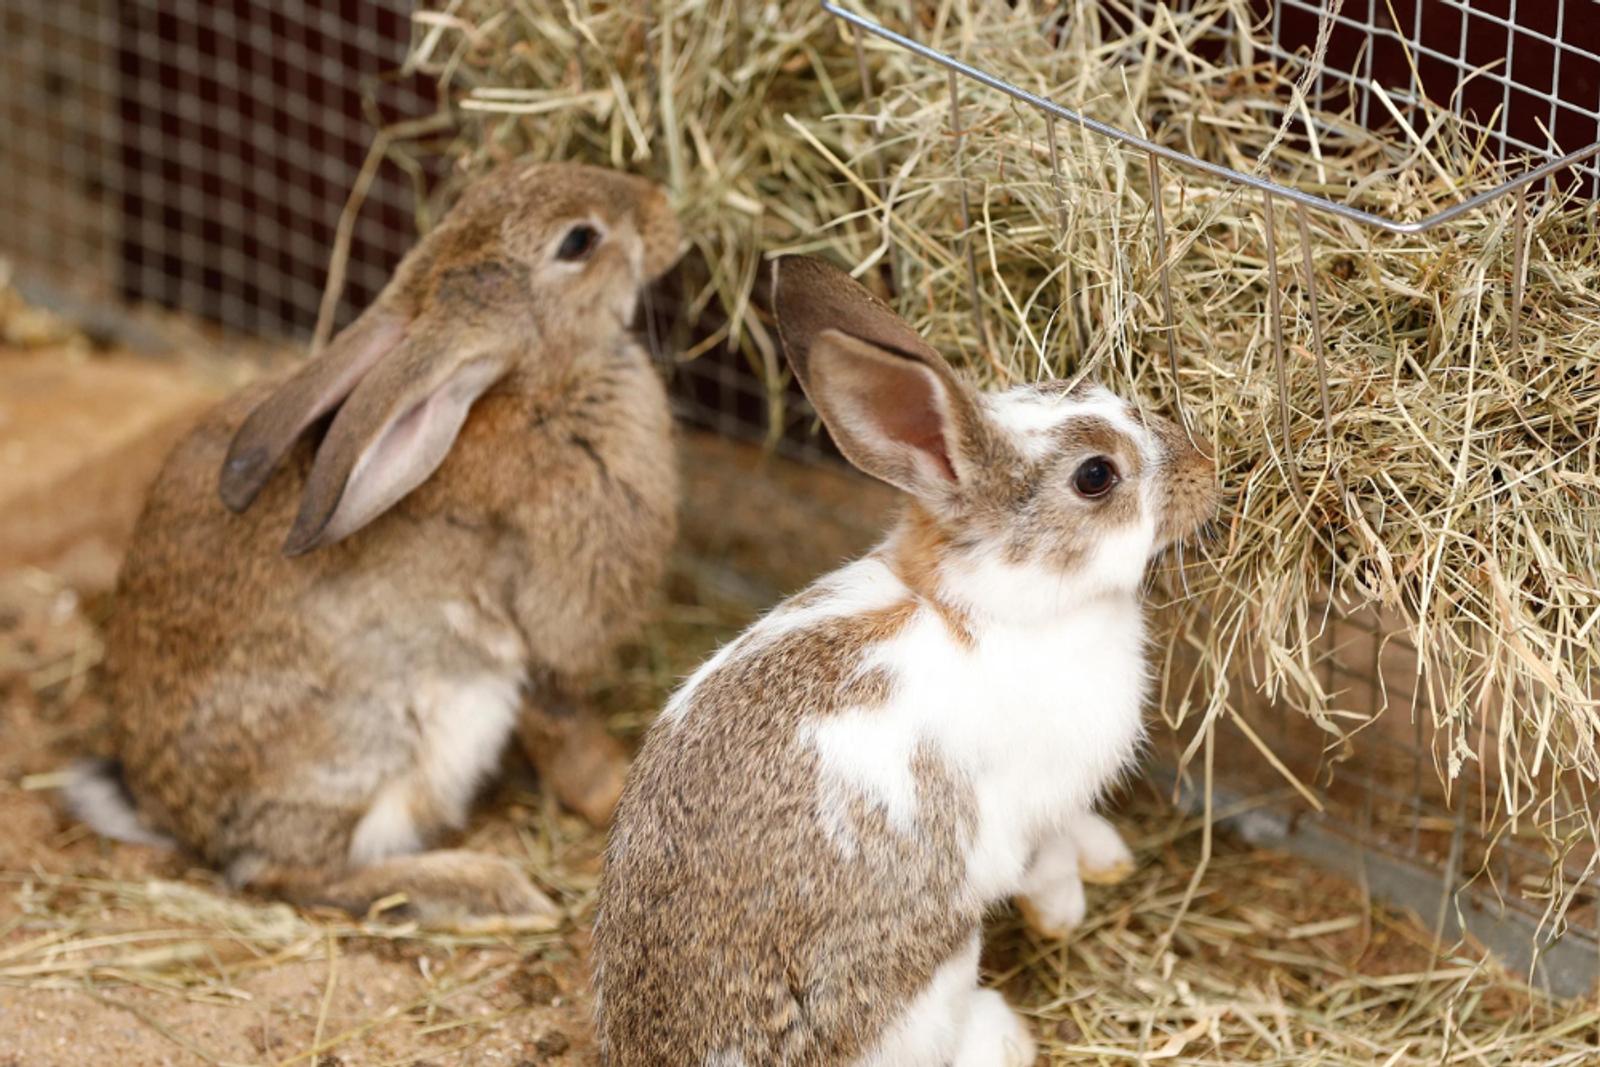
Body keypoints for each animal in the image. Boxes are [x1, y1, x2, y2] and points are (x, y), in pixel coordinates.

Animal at [65, 160, 681, 927]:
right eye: (579, 241)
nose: (665, 211)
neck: (537, 388)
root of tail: (170, 815)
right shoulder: (552, 626)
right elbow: (566, 727)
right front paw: (609, 794)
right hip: (365, 744)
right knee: (285, 875)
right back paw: (486, 886)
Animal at [595, 254, 1216, 1062]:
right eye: (1095, 476)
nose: (1208, 470)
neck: (992, 607)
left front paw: (1105, 857)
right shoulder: (1025, 809)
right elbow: (1042, 858)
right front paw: (1063, 913)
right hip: (932, 975)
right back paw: (1005, 1033)